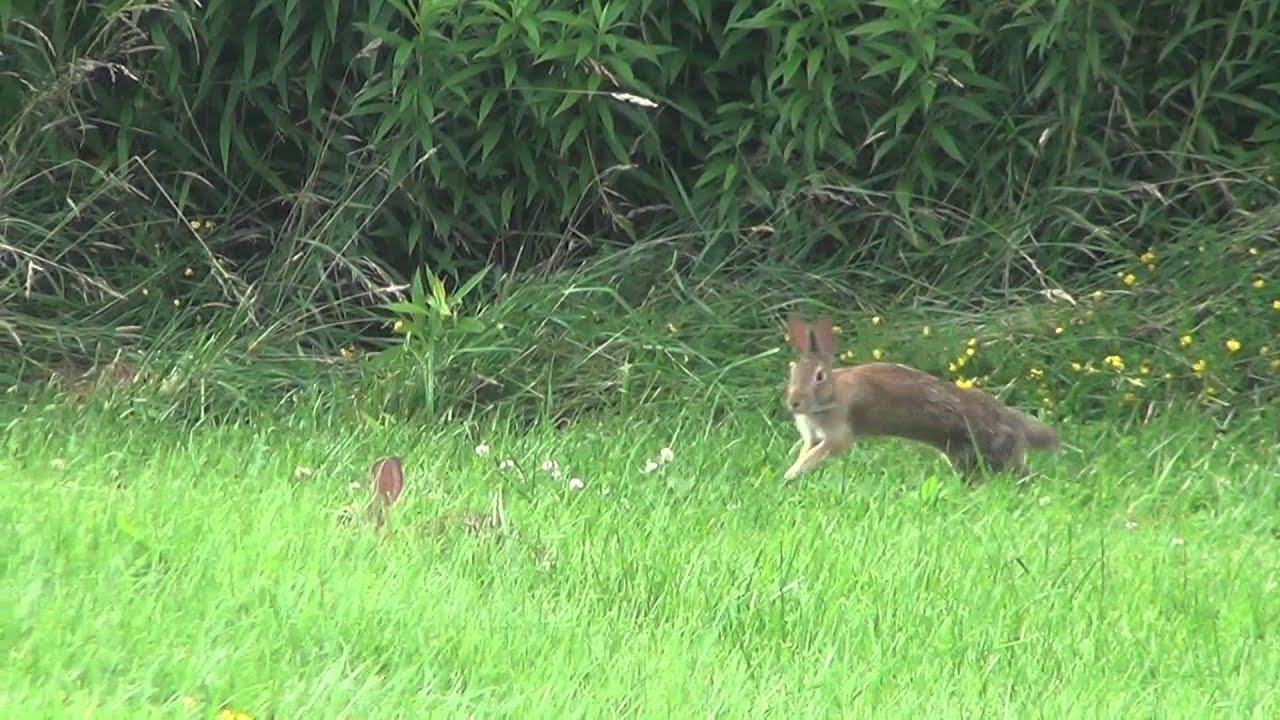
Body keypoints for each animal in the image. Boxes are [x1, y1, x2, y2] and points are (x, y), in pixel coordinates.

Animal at [782, 315, 1060, 483]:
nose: (794, 403)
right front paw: (793, 471)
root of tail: (1015, 423)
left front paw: (792, 473)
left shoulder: (838, 433)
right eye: (792, 371)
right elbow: (808, 450)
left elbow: (824, 450)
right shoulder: (811, 436)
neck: (831, 395)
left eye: (819, 377)